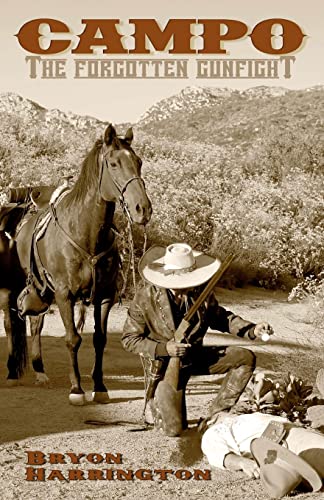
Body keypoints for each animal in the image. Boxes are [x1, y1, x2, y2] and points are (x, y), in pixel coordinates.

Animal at [13, 123, 152, 404]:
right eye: (113, 163)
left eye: (139, 162)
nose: (142, 209)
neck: (86, 234)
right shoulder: (65, 294)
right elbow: (72, 339)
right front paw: (76, 388)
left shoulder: (105, 295)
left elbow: (99, 339)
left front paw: (99, 386)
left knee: (35, 323)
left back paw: (40, 371)